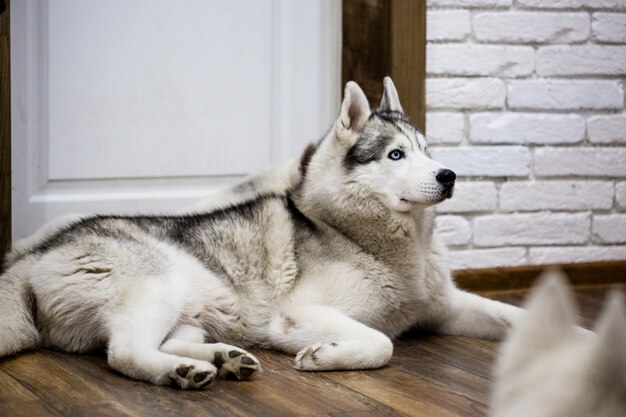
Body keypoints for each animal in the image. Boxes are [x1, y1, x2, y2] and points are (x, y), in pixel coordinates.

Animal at [1, 77, 520, 386]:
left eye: (428, 152)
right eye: (396, 155)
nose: (449, 175)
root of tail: (33, 254)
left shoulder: (445, 307)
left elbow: (516, 317)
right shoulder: (299, 314)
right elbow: (382, 342)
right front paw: (324, 357)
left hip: (190, 311)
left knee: (162, 341)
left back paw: (221, 358)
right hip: (157, 288)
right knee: (124, 353)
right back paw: (183, 371)